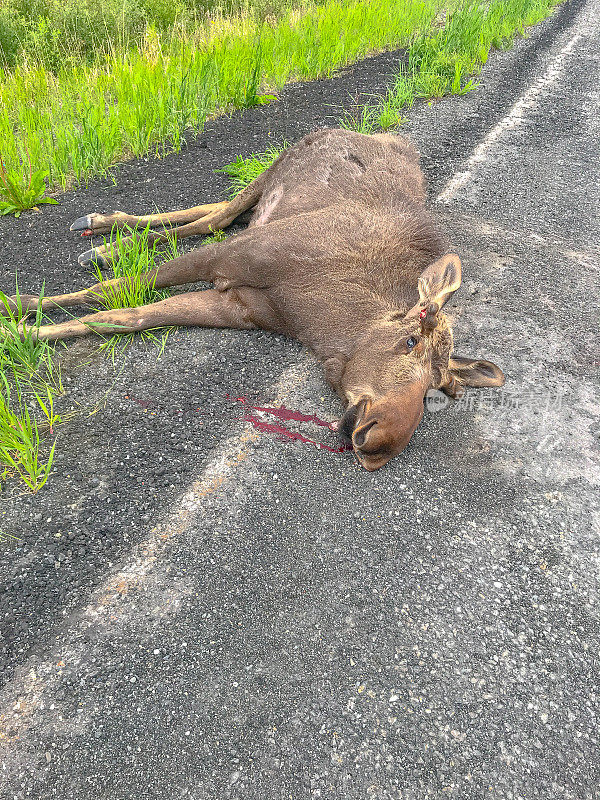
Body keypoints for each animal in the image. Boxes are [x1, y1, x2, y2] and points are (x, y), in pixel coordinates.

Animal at [7, 129, 504, 468]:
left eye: (436, 388)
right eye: (410, 340)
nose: (380, 443)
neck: (316, 316)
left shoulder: (238, 305)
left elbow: (129, 316)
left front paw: (27, 333)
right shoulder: (232, 256)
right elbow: (113, 291)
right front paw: (15, 310)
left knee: (210, 214)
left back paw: (105, 231)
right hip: (274, 169)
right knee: (213, 217)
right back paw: (103, 240)